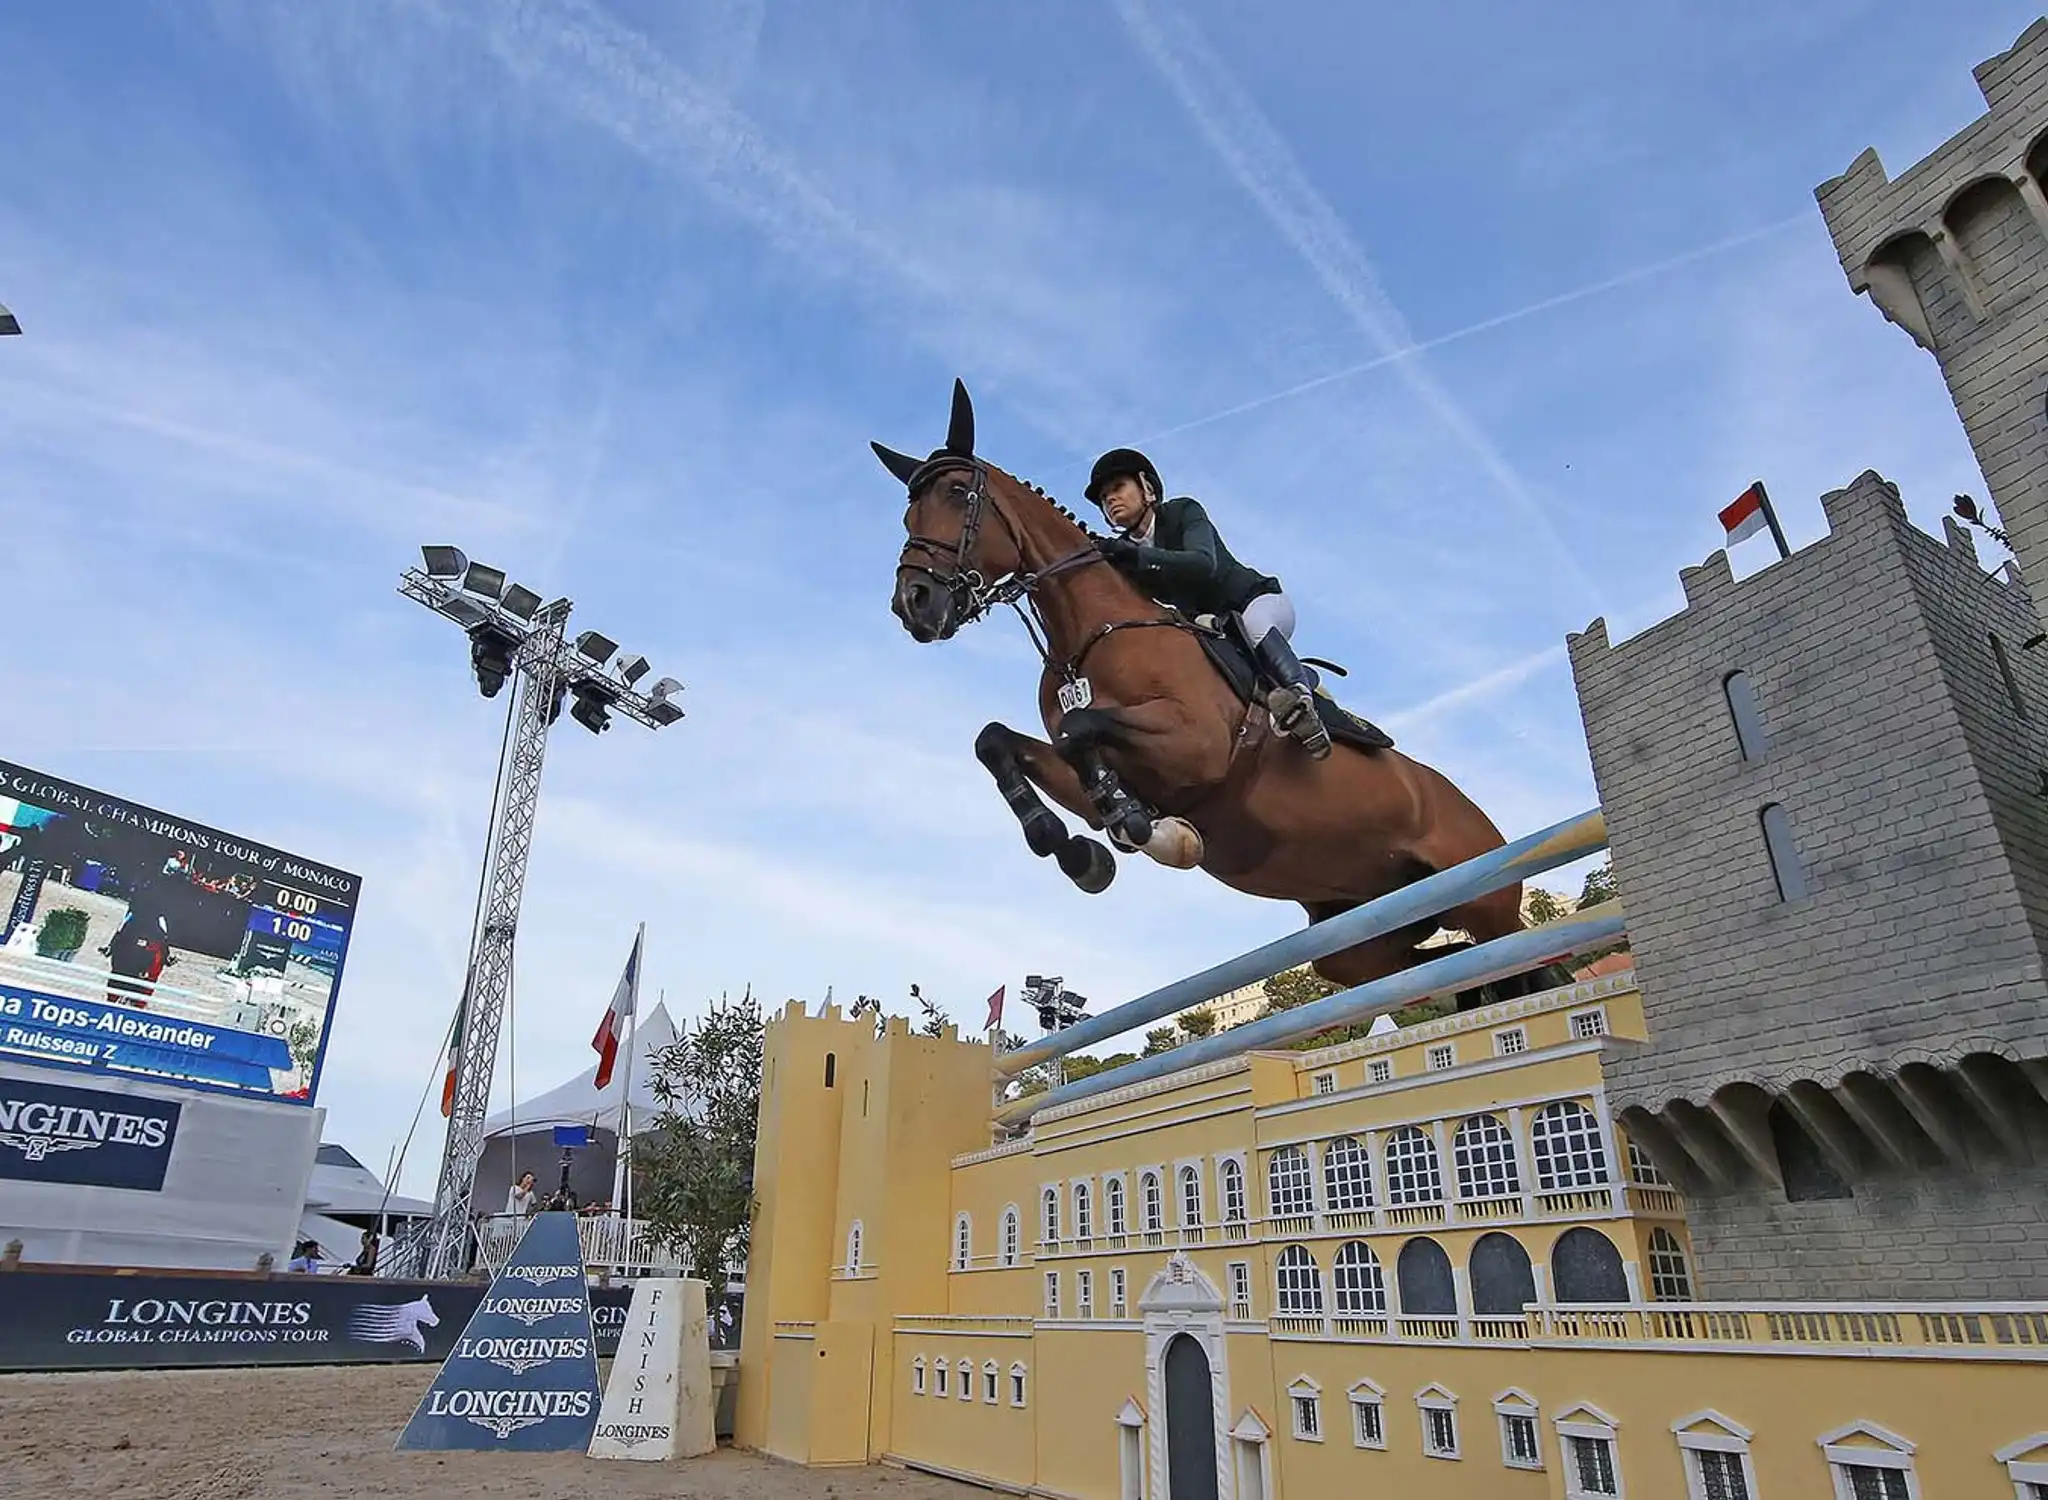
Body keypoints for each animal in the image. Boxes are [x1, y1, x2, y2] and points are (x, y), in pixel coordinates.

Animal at [880, 383, 1540, 995]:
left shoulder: (1195, 747)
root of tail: (1473, 809)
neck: (1087, 635)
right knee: (1442, 965)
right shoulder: (1112, 769)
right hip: (1363, 939)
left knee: (1517, 957)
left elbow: (1078, 730)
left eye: (958, 494)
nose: (914, 604)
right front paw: (1079, 849)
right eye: (907, 516)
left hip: (1486, 903)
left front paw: (1143, 831)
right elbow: (999, 742)